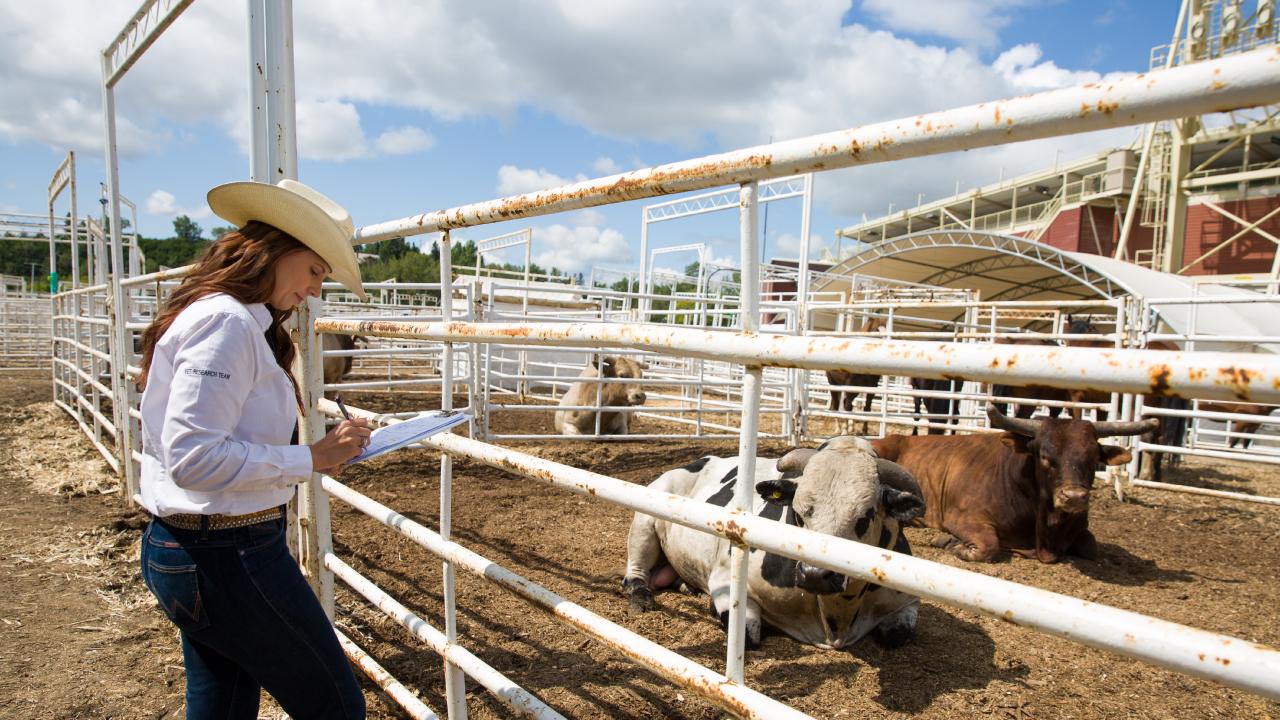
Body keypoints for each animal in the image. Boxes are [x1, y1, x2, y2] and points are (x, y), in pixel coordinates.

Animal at [623, 436, 926, 650]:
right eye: (798, 514)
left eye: (866, 515)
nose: (815, 574)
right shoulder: (726, 582)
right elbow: (747, 635)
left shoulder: (907, 603)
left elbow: (895, 635)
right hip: (645, 520)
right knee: (634, 573)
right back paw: (641, 594)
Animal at [871, 405, 1157, 564]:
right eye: (1045, 457)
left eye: (1093, 458)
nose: (1074, 497)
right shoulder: (964, 517)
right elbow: (989, 547)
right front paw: (950, 542)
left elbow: (1091, 547)